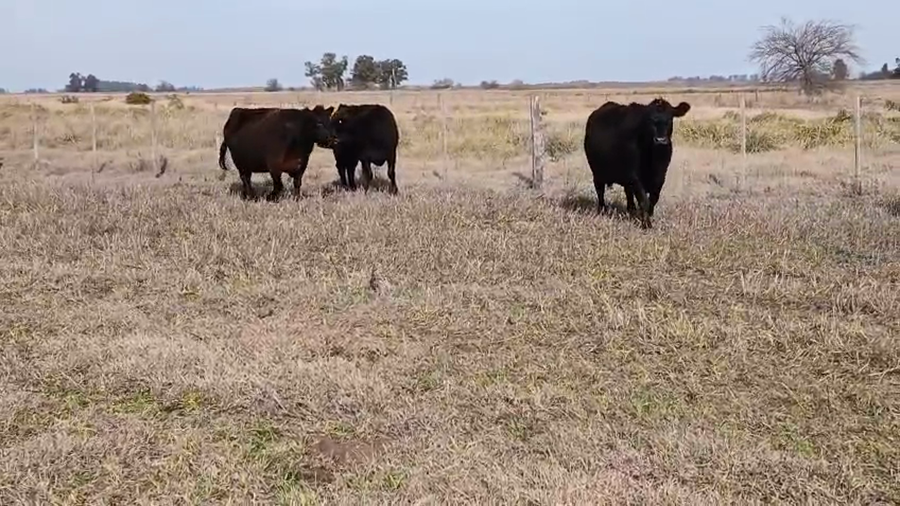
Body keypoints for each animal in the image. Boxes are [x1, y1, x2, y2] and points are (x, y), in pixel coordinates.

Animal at [582, 97, 690, 229]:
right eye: (650, 120)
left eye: (670, 119)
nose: (660, 140)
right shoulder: (634, 177)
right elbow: (644, 200)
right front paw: (647, 224)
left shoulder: (660, 176)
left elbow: (653, 199)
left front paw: (649, 215)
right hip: (597, 171)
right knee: (600, 190)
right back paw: (603, 209)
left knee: (628, 192)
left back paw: (631, 210)